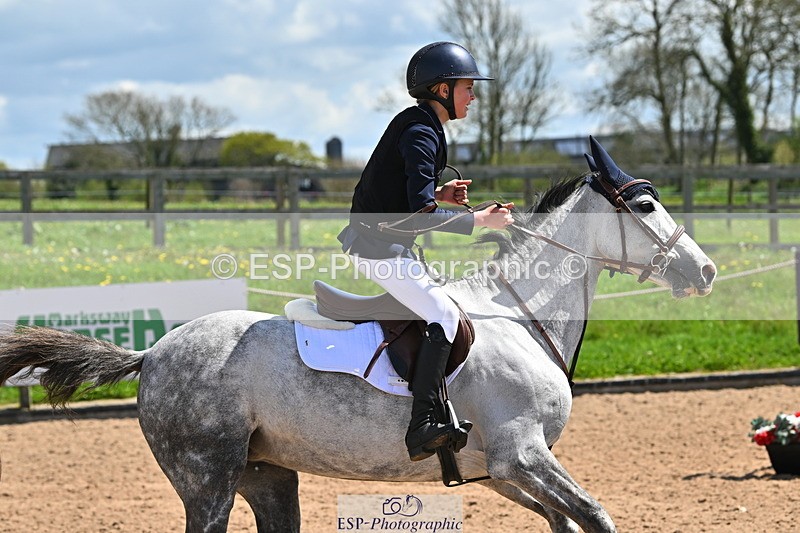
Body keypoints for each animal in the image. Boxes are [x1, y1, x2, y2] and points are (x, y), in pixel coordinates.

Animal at [0, 138, 716, 533]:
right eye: (646, 205)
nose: (703, 270)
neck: (519, 313)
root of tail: (153, 351)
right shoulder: (522, 455)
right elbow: (595, 516)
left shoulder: (499, 468)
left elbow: (569, 522)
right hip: (207, 477)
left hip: (267, 475)